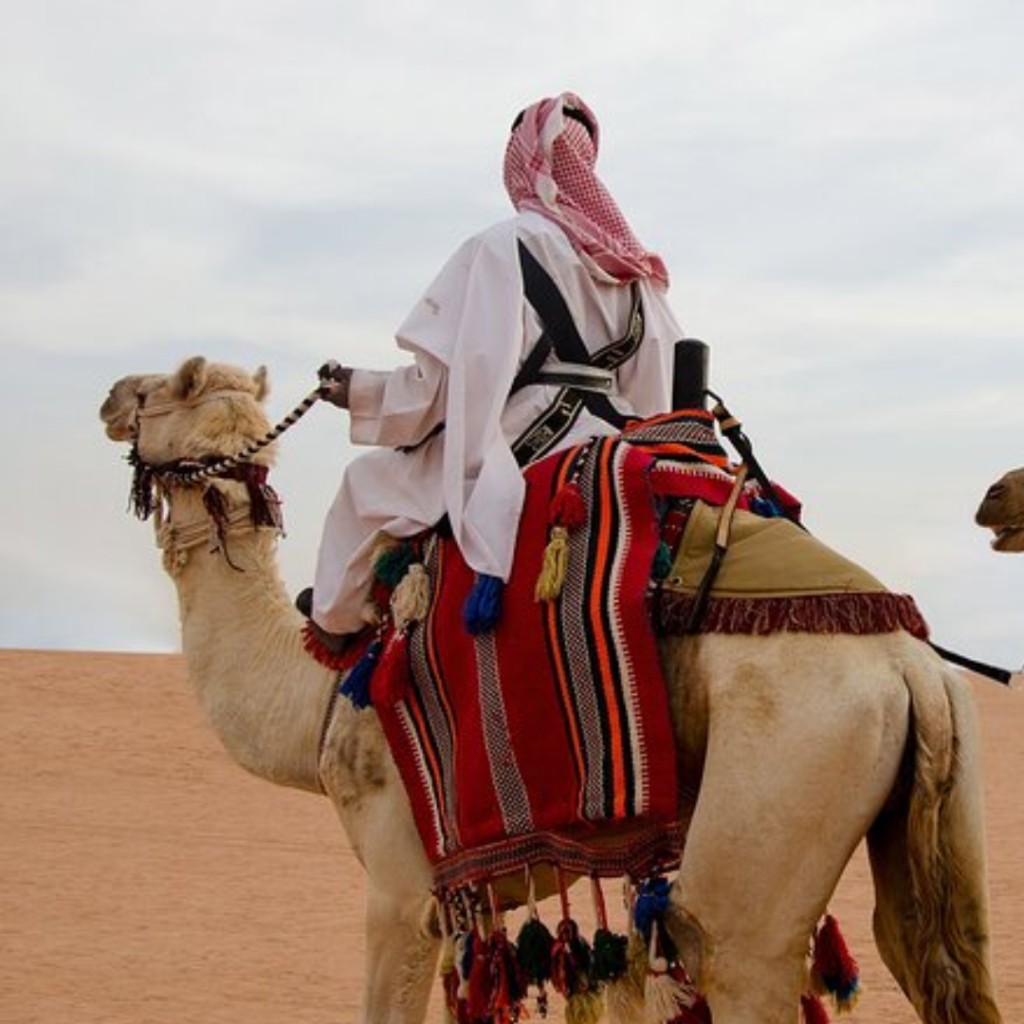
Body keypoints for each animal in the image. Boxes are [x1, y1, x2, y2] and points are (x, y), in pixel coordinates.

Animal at [100, 356, 1004, 1024]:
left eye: (155, 391)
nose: (109, 396)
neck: (317, 698)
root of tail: (911, 663)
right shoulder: (480, 887)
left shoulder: (401, 882)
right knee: (928, 954)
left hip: (788, 779)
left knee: (729, 944)